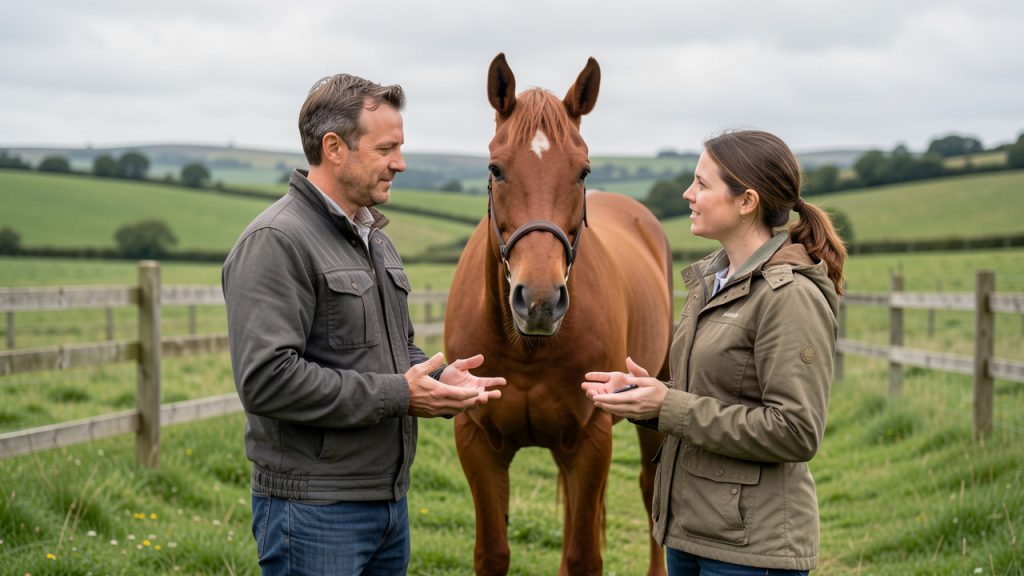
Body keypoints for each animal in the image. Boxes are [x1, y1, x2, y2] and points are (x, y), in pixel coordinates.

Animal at [443, 53, 673, 576]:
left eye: (583, 171)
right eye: (496, 168)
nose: (540, 301)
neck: (527, 348)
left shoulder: (590, 439)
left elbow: (584, 557)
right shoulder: (477, 440)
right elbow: (492, 552)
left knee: (650, 490)